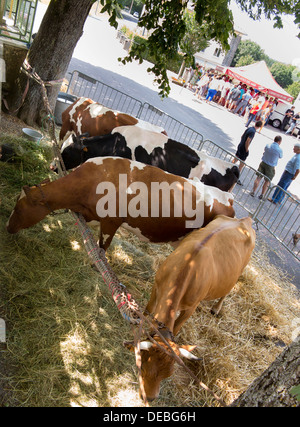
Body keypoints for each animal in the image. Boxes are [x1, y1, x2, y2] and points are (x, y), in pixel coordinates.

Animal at [124, 216, 255, 402]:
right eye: (142, 367)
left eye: (168, 375)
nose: (149, 398)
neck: (186, 268)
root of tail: (245, 219)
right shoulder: (156, 287)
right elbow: (147, 312)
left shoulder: (191, 308)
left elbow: (178, 327)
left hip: (239, 271)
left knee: (227, 291)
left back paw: (216, 308)